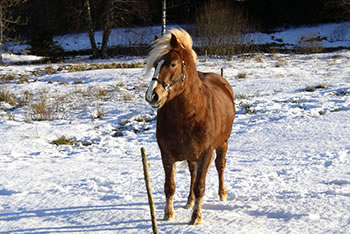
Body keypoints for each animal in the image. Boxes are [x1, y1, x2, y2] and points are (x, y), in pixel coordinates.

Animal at [145, 28, 235, 224]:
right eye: (155, 64)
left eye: (172, 64)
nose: (151, 96)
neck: (187, 115)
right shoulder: (167, 155)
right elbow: (169, 186)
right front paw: (168, 214)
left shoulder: (206, 153)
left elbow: (200, 186)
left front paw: (196, 217)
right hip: (191, 155)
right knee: (193, 173)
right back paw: (189, 201)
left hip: (223, 144)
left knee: (220, 166)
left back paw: (222, 194)